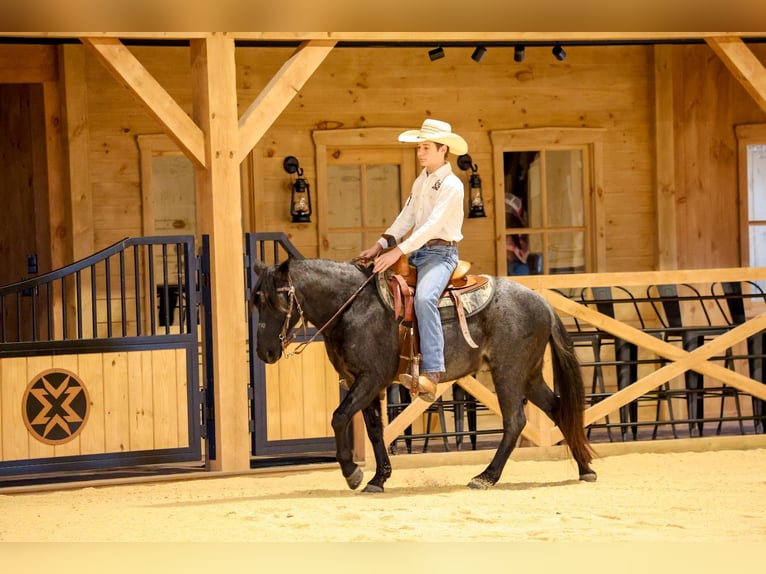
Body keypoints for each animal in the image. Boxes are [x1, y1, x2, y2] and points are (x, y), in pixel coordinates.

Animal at [251, 257, 597, 493]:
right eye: (255, 301)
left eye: (276, 299)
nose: (264, 352)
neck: (354, 307)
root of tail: (543, 303)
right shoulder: (359, 381)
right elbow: (375, 431)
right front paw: (378, 478)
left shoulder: (371, 378)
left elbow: (339, 417)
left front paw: (352, 473)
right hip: (530, 376)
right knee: (559, 410)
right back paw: (584, 468)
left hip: (509, 373)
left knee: (515, 421)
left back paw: (485, 476)